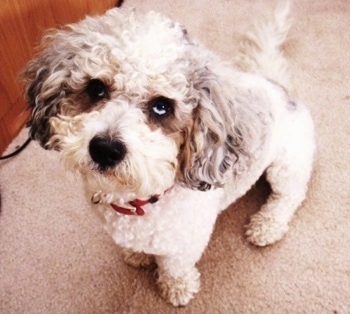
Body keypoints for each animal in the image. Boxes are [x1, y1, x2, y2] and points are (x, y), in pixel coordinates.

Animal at [23, 1, 316, 306]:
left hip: (288, 166)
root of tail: (277, 86)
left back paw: (266, 226)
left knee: (289, 197)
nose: (105, 149)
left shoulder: (184, 245)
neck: (137, 200)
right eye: (96, 88)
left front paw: (177, 288)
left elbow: (175, 268)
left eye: (162, 106)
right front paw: (136, 255)